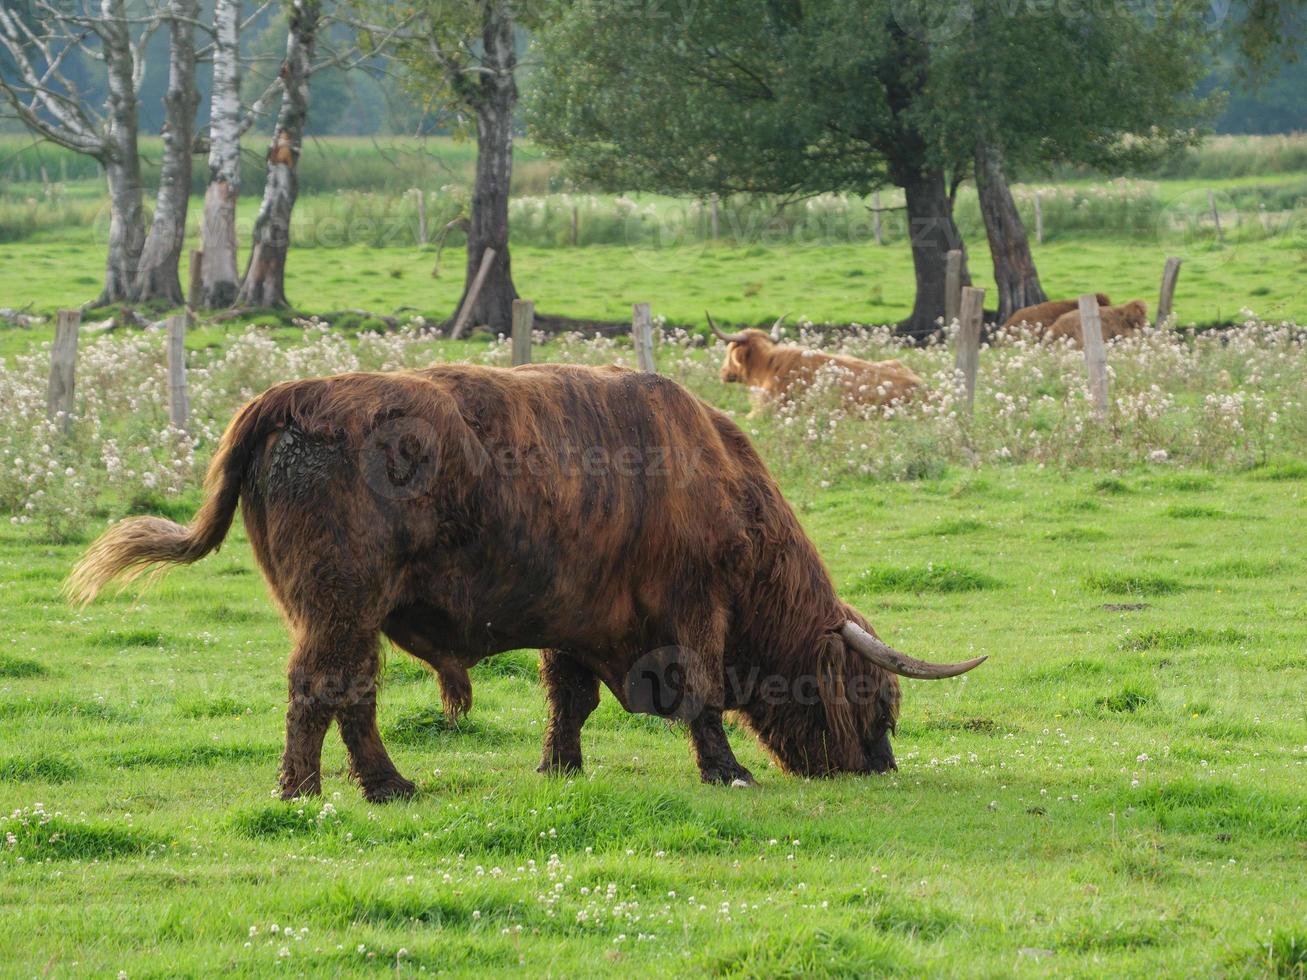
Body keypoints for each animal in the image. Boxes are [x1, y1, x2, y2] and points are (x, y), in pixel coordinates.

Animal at [63, 365, 982, 799]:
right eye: (874, 700)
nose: (880, 768)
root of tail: (295, 398)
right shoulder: (691, 611)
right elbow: (701, 697)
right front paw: (727, 771)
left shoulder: (579, 617)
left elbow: (567, 700)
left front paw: (559, 767)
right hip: (341, 604)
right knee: (324, 689)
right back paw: (321, 791)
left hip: (341, 613)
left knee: (349, 695)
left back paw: (371, 787)